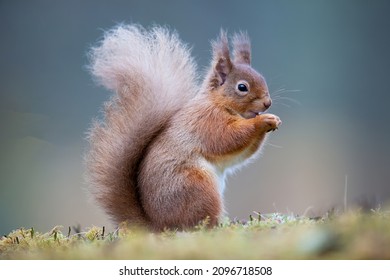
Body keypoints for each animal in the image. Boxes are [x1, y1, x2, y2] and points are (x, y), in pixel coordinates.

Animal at [86, 25, 280, 231]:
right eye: (242, 87)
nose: (267, 103)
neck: (217, 102)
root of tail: (158, 226)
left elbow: (240, 154)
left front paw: (273, 120)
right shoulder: (207, 122)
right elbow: (227, 138)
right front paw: (263, 121)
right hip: (196, 187)